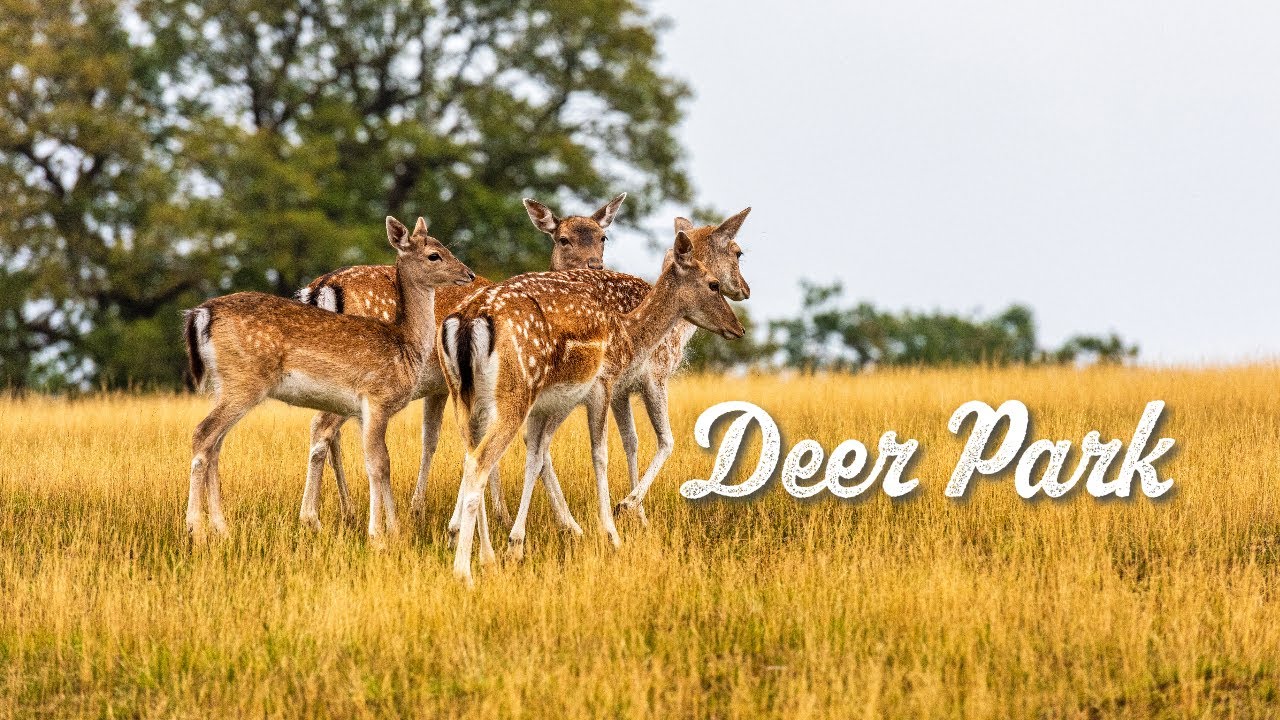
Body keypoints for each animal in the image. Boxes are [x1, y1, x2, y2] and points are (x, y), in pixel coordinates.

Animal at [182, 216, 474, 542]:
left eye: (445, 246)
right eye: (434, 255)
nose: (469, 274)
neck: (405, 344)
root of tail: (200, 314)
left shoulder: (362, 409)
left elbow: (379, 461)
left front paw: (393, 529)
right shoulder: (376, 398)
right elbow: (379, 463)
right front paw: (380, 535)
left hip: (225, 384)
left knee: (215, 444)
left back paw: (221, 528)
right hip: (244, 382)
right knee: (203, 433)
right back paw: (195, 528)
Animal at [292, 194, 627, 531]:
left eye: (603, 237)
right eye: (563, 239)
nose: (595, 265)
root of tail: (319, 287)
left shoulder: (440, 388)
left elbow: (432, 440)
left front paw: (418, 508)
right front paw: (515, 517)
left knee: (331, 433)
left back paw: (345, 510)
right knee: (322, 428)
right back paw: (313, 517)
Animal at [439, 231, 746, 584]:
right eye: (713, 284)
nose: (738, 328)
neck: (628, 336)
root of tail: (468, 320)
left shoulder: (554, 402)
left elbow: (536, 457)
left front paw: (516, 545)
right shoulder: (602, 384)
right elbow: (599, 455)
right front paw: (612, 533)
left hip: (463, 397)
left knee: (470, 457)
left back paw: (484, 555)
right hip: (514, 394)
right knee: (479, 462)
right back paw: (464, 572)